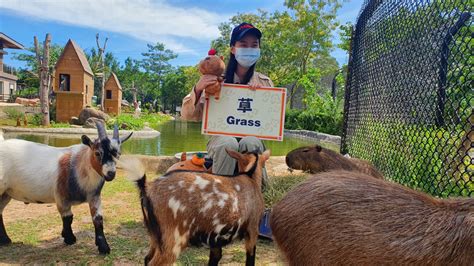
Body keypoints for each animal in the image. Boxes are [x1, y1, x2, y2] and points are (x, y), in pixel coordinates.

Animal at [0, 122, 131, 254]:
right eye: (97, 153)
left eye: (118, 154)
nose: (111, 174)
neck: (77, 166)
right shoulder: (61, 197)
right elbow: (68, 218)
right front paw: (70, 239)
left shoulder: (94, 196)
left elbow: (98, 219)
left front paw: (103, 247)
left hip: (6, 193)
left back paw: (5, 240)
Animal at [122, 149, 270, 264]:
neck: (250, 178)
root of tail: (147, 188)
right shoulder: (252, 230)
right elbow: (250, 258)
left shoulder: (215, 239)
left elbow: (215, 258)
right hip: (174, 239)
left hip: (155, 237)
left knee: (147, 258)